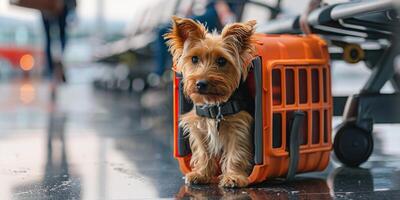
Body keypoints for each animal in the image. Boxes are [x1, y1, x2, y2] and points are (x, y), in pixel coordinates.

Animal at [165, 16, 256, 188]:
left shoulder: (239, 127)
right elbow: (203, 152)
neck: (214, 106)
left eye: (221, 61)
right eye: (194, 59)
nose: (201, 83)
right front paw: (201, 174)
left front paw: (233, 177)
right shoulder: (198, 126)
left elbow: (236, 153)